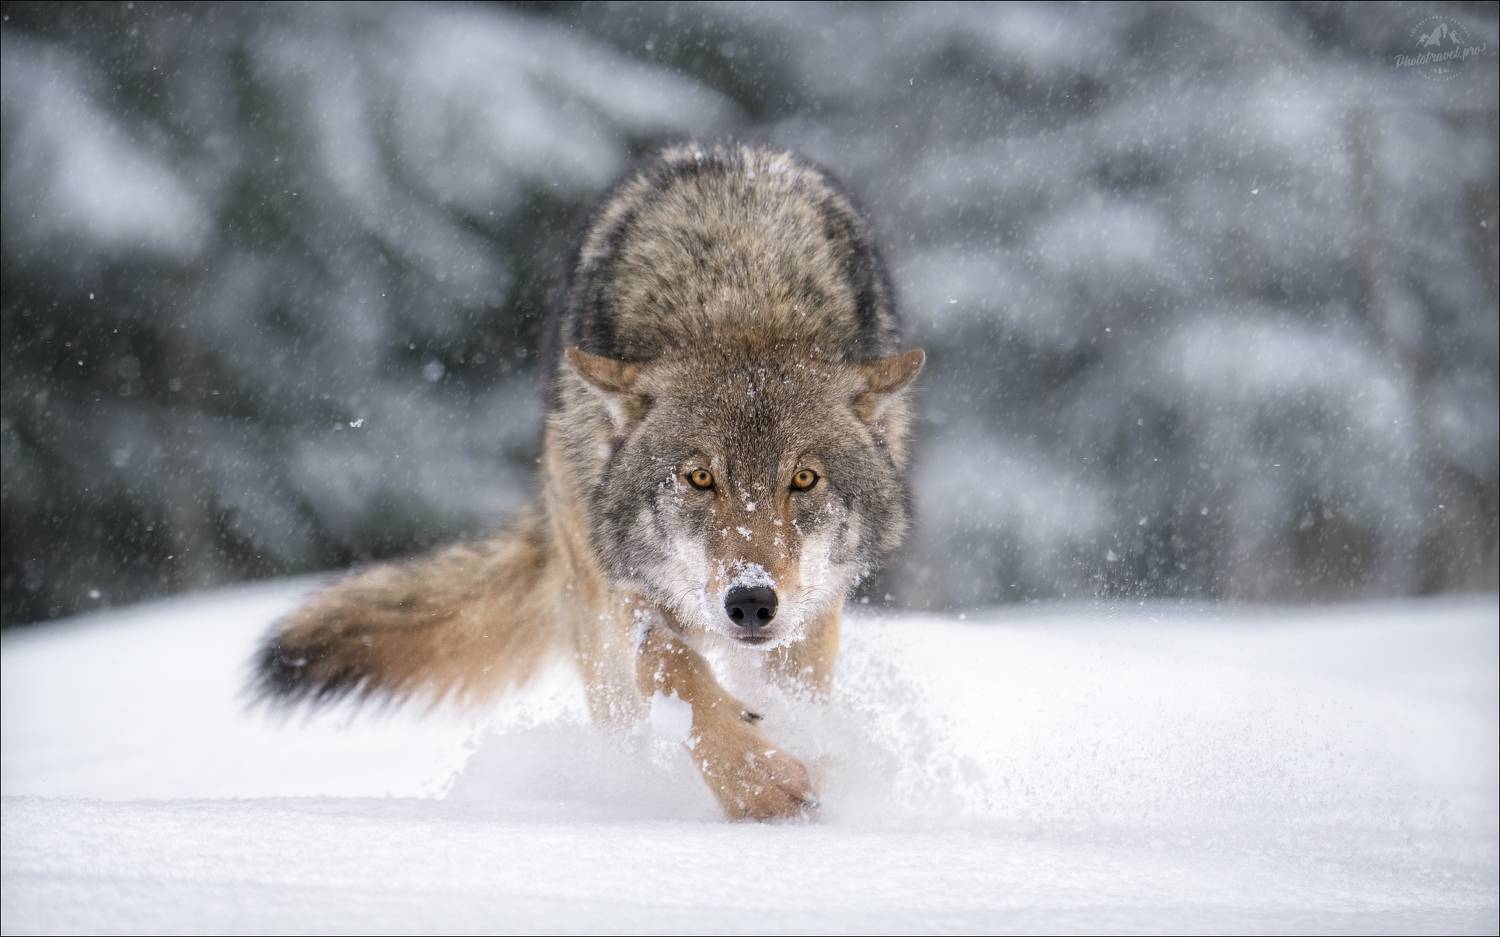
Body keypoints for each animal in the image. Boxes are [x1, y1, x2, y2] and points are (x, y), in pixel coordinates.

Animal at [254, 143, 925, 821]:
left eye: (805, 479)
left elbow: (792, 694)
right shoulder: (622, 583)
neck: (738, 291)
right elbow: (670, 668)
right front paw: (756, 781)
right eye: (699, 477)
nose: (751, 602)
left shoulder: (811, 611)